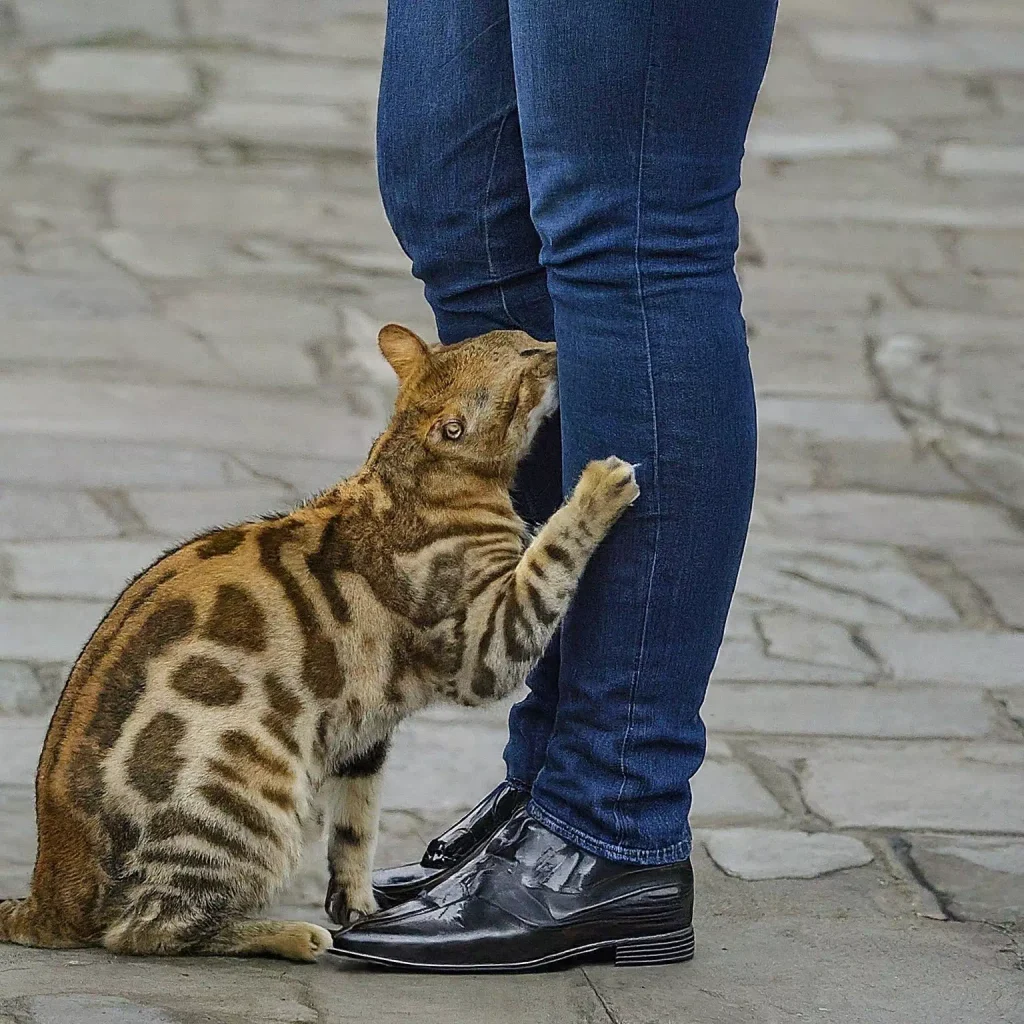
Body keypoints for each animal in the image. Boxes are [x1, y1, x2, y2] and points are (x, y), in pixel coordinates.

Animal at [0, 325, 638, 958]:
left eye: (525, 337)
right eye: (529, 355)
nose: (555, 346)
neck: (407, 471)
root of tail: (48, 889)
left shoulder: (364, 729)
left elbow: (356, 826)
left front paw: (359, 906)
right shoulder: (486, 644)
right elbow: (551, 555)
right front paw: (598, 488)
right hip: (248, 799)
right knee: (147, 930)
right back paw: (285, 934)